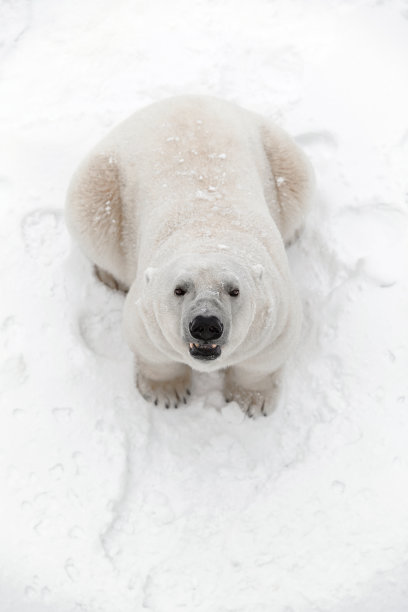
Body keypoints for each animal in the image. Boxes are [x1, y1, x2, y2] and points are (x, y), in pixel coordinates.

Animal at [66, 95, 316, 418]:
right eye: (179, 289)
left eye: (234, 290)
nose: (206, 325)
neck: (208, 229)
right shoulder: (145, 307)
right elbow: (151, 349)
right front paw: (166, 394)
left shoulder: (277, 308)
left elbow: (264, 357)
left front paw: (252, 401)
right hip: (102, 178)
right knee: (92, 215)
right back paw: (111, 276)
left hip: (277, 151)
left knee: (296, 180)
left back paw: (293, 232)